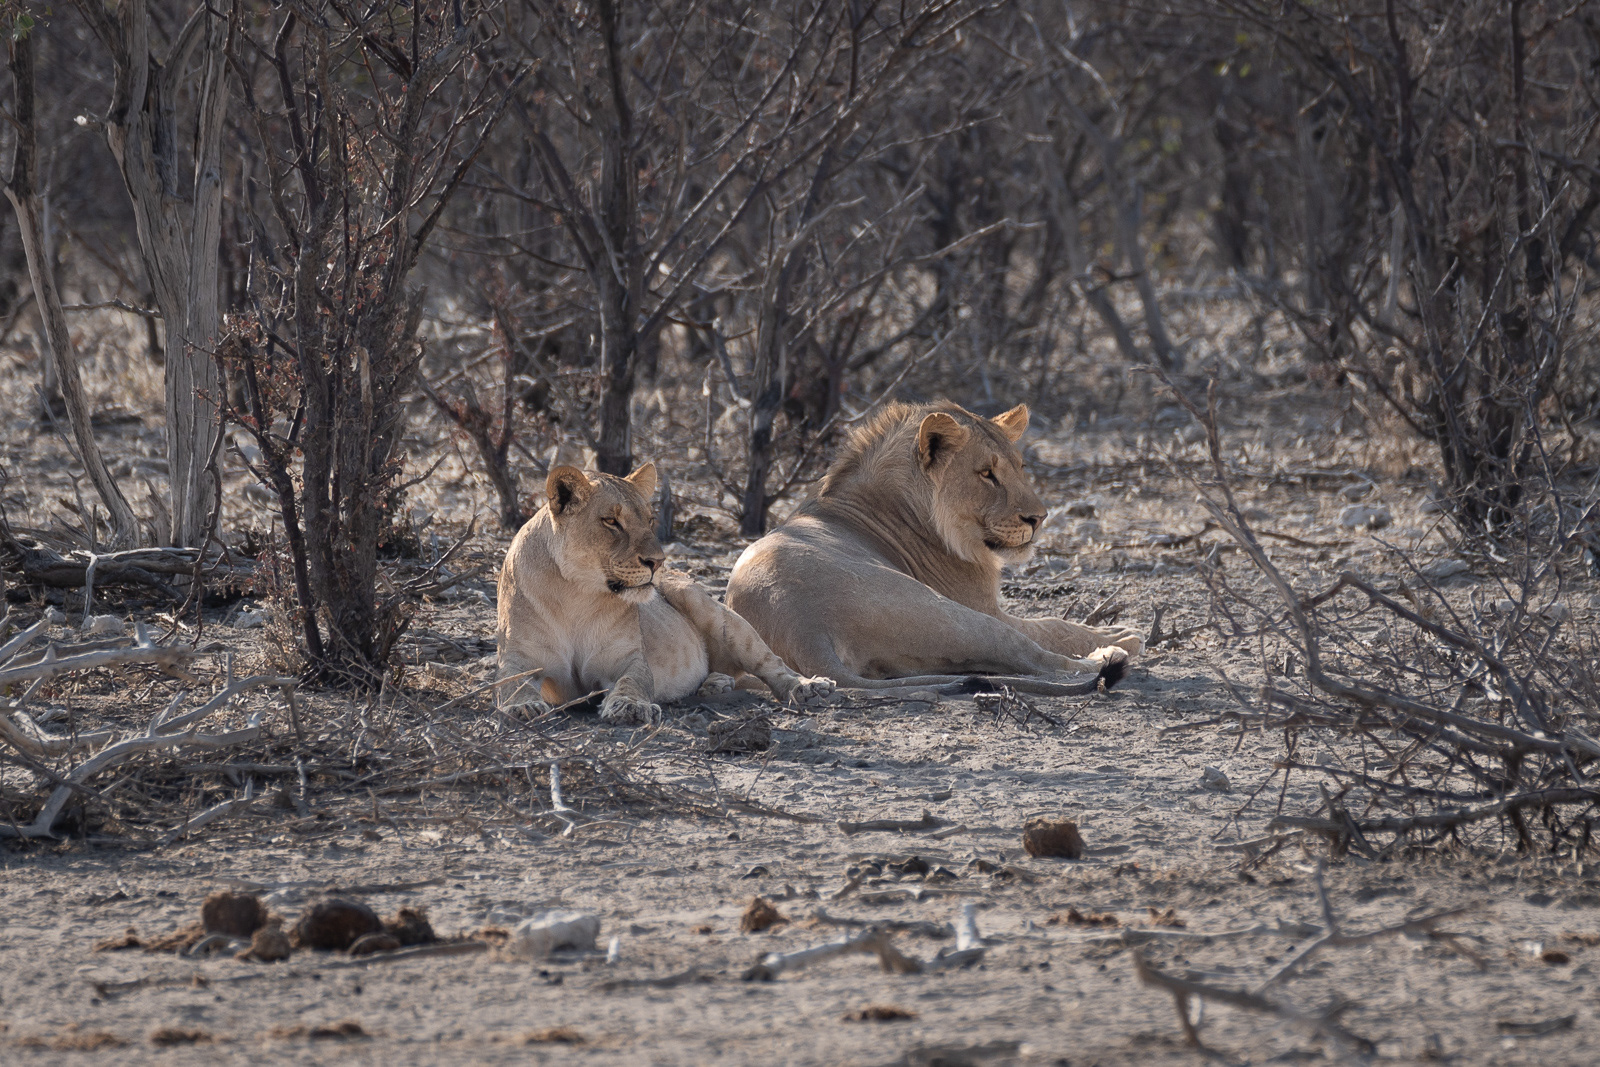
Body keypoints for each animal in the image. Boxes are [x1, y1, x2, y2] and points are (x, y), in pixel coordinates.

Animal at [496, 462, 835, 724]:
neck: (576, 594)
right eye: (611, 521)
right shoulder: (517, 657)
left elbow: (633, 681)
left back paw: (807, 686)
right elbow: (511, 683)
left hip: (716, 614)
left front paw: (630, 706)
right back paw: (715, 683)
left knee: (772, 663)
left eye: (649, 520)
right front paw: (523, 706)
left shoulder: (630, 658)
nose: (657, 562)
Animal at [726, 401, 1142, 695]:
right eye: (987, 474)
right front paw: (1120, 632)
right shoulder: (986, 606)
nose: (1038, 518)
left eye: (1021, 467)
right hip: (951, 613)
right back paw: (1112, 653)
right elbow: (1055, 626)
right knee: (1034, 654)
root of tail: (805, 632)